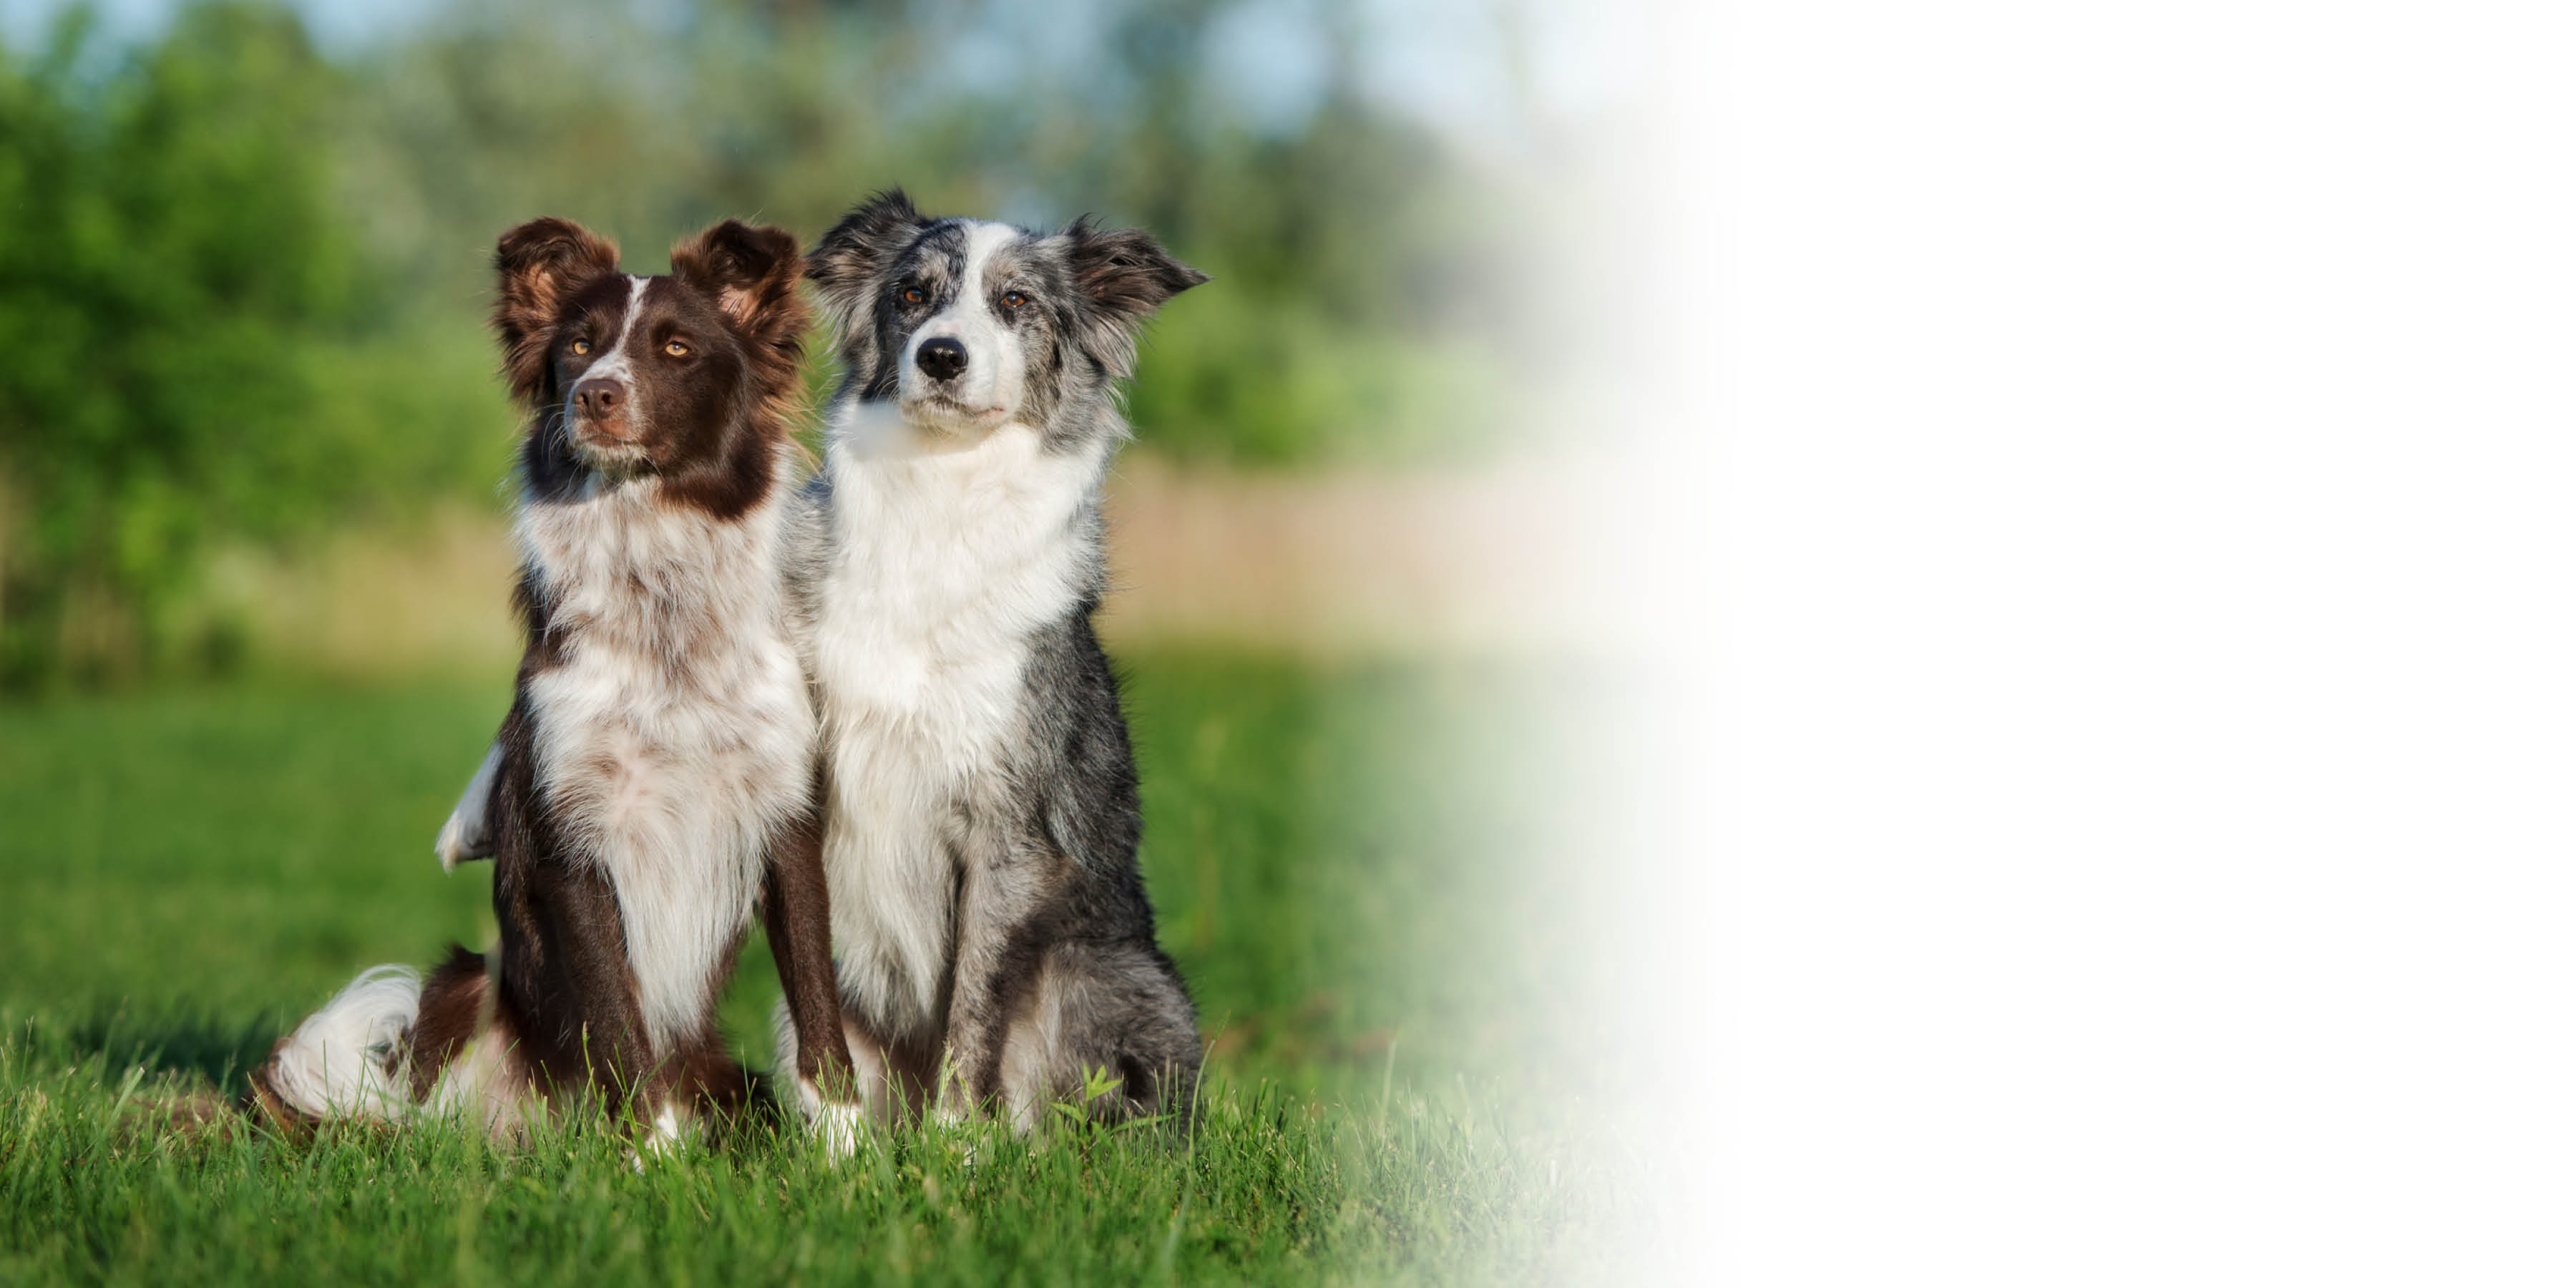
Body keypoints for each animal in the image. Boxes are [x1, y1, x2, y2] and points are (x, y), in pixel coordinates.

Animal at [263, 216, 865, 1153]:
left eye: (678, 348)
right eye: (578, 346)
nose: (595, 396)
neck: (662, 615)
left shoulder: (787, 817)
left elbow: (817, 1004)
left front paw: (846, 1158)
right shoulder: (572, 836)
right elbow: (619, 1021)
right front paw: (656, 1163)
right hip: (468, 987)